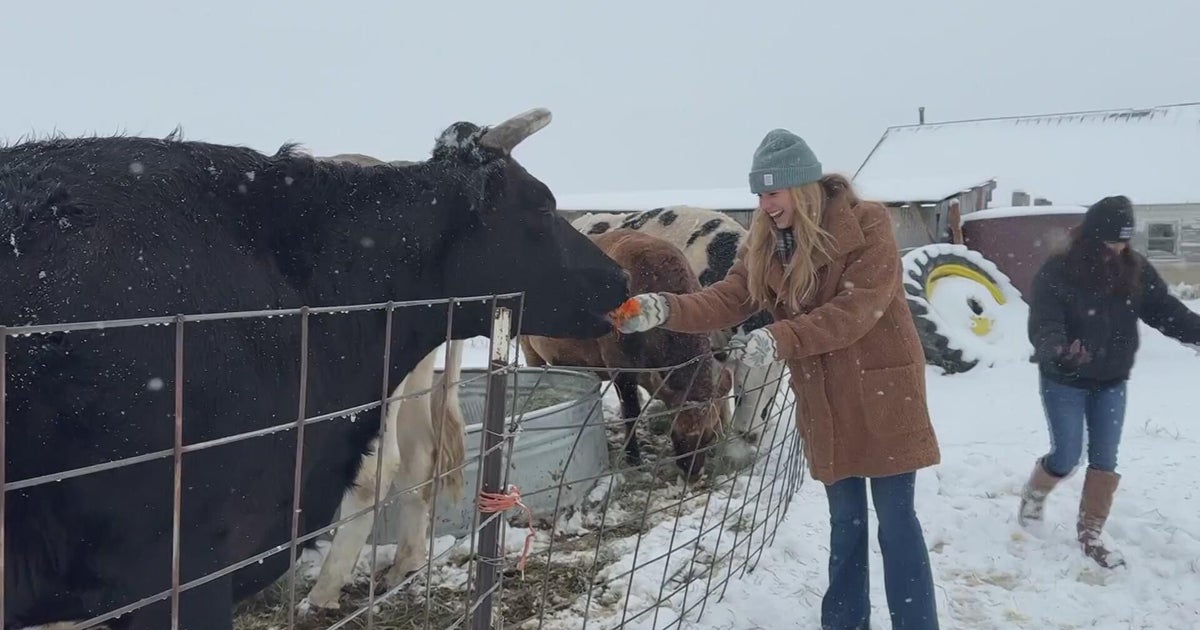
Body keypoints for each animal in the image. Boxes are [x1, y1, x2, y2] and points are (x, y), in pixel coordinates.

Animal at [521, 229, 732, 480]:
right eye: (675, 434)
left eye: (708, 435)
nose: (693, 474)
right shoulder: (620, 366)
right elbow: (631, 413)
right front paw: (634, 458)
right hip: (527, 344)